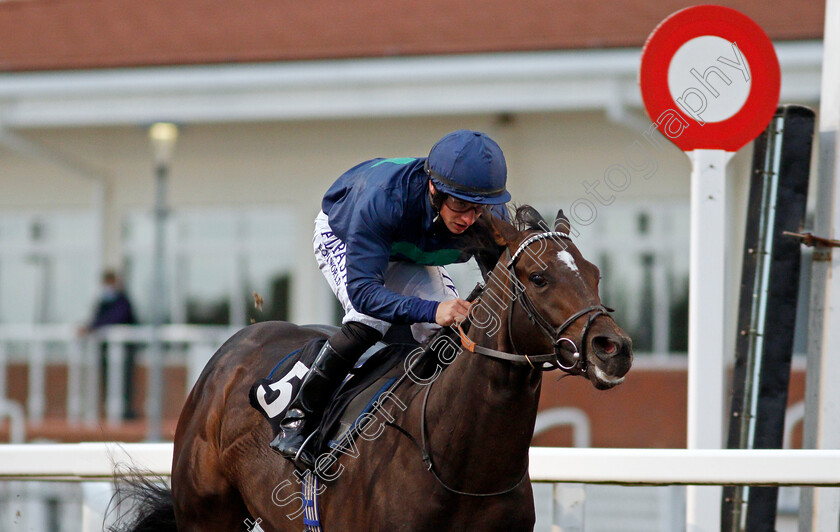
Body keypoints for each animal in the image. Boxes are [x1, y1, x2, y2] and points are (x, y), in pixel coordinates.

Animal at [115, 207, 632, 532]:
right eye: (539, 278)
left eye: (594, 273)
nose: (614, 348)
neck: (460, 465)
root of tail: (231, 350)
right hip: (206, 513)